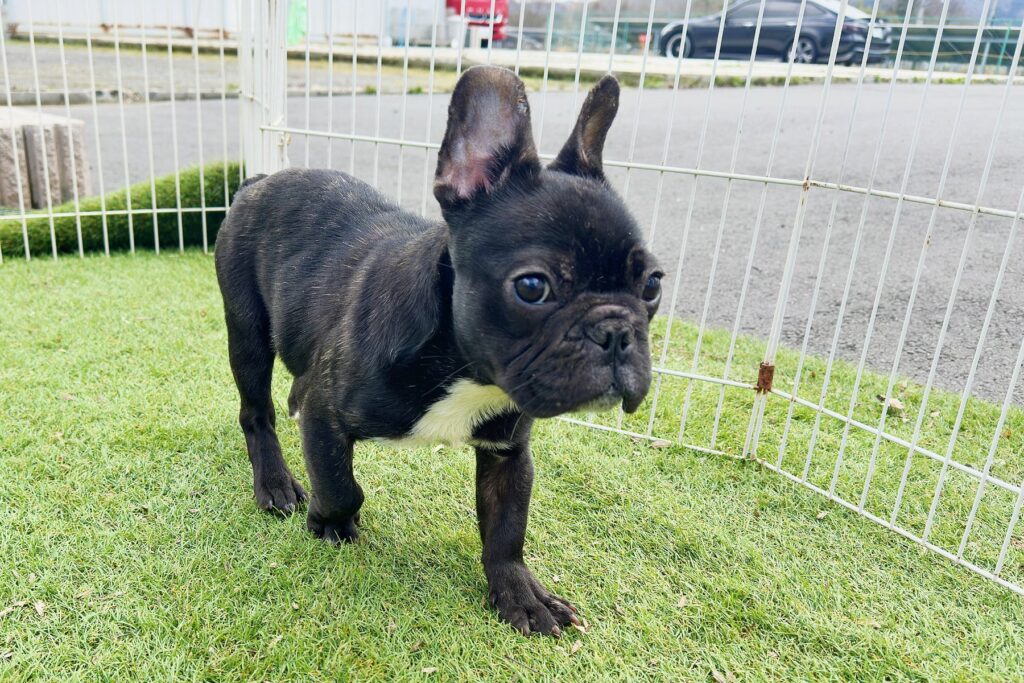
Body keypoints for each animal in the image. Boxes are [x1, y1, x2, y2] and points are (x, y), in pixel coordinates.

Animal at [214, 65, 662, 636]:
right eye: (532, 287)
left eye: (652, 285)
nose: (616, 331)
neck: (464, 367)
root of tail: (259, 181)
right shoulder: (328, 414)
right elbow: (341, 485)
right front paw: (329, 522)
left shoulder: (508, 453)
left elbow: (507, 529)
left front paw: (520, 595)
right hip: (247, 332)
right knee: (257, 411)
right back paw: (274, 483)